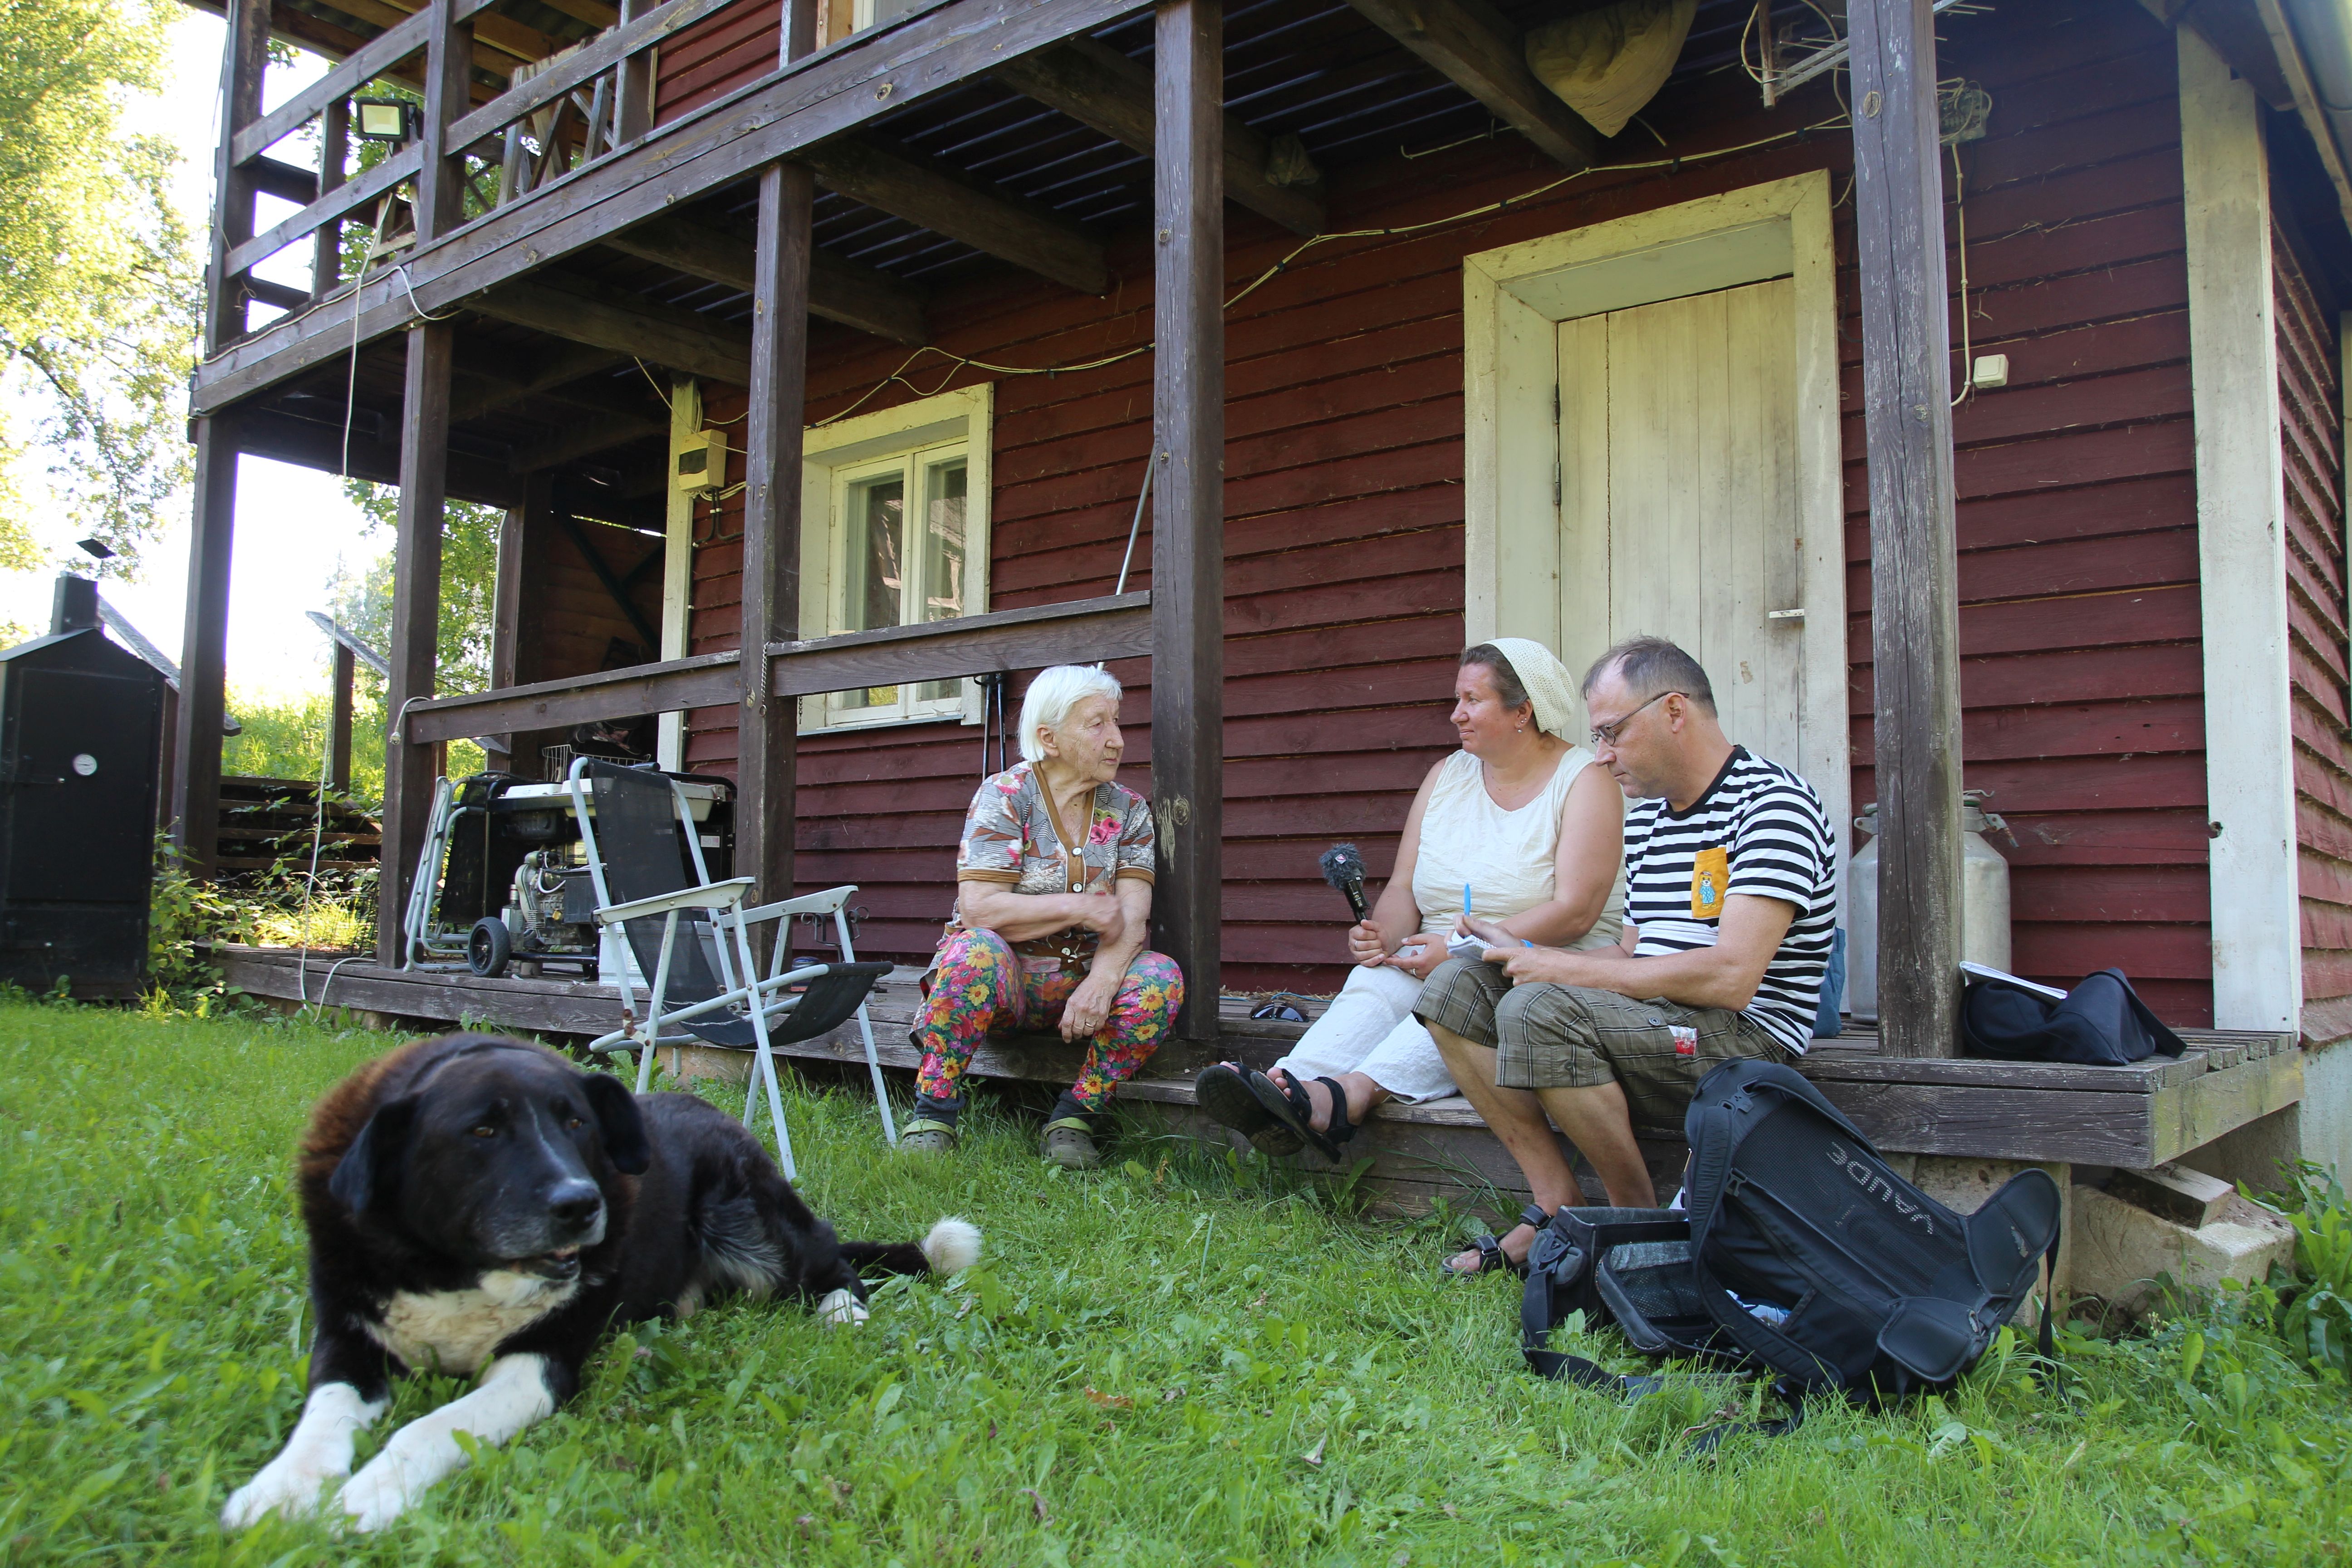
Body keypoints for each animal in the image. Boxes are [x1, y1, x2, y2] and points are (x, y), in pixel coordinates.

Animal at [222, 1029, 983, 1533]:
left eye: (575, 1123)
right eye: (482, 1132)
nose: (581, 1205)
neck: (456, 1270)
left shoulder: (539, 1365)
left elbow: (430, 1429)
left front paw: (365, 1498)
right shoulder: (347, 1340)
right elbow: (323, 1416)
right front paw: (280, 1492)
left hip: (749, 1215)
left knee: (833, 1262)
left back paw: (841, 1314)